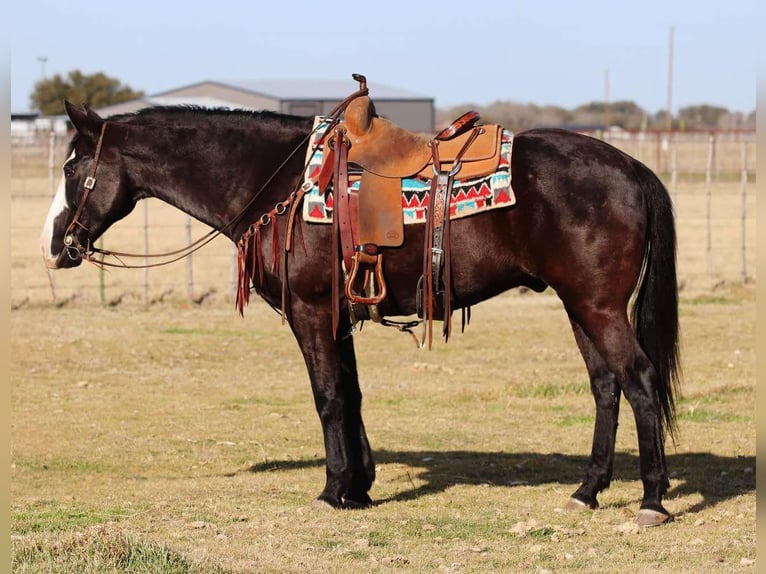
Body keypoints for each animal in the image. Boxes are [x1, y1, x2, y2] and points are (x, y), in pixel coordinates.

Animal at [40, 89, 680, 527]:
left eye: (73, 167)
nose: (53, 246)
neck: (278, 183)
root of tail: (632, 167)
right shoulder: (339, 315)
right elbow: (351, 394)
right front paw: (361, 487)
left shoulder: (310, 313)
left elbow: (327, 398)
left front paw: (332, 490)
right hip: (581, 307)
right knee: (606, 386)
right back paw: (587, 491)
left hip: (599, 308)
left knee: (640, 380)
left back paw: (651, 500)